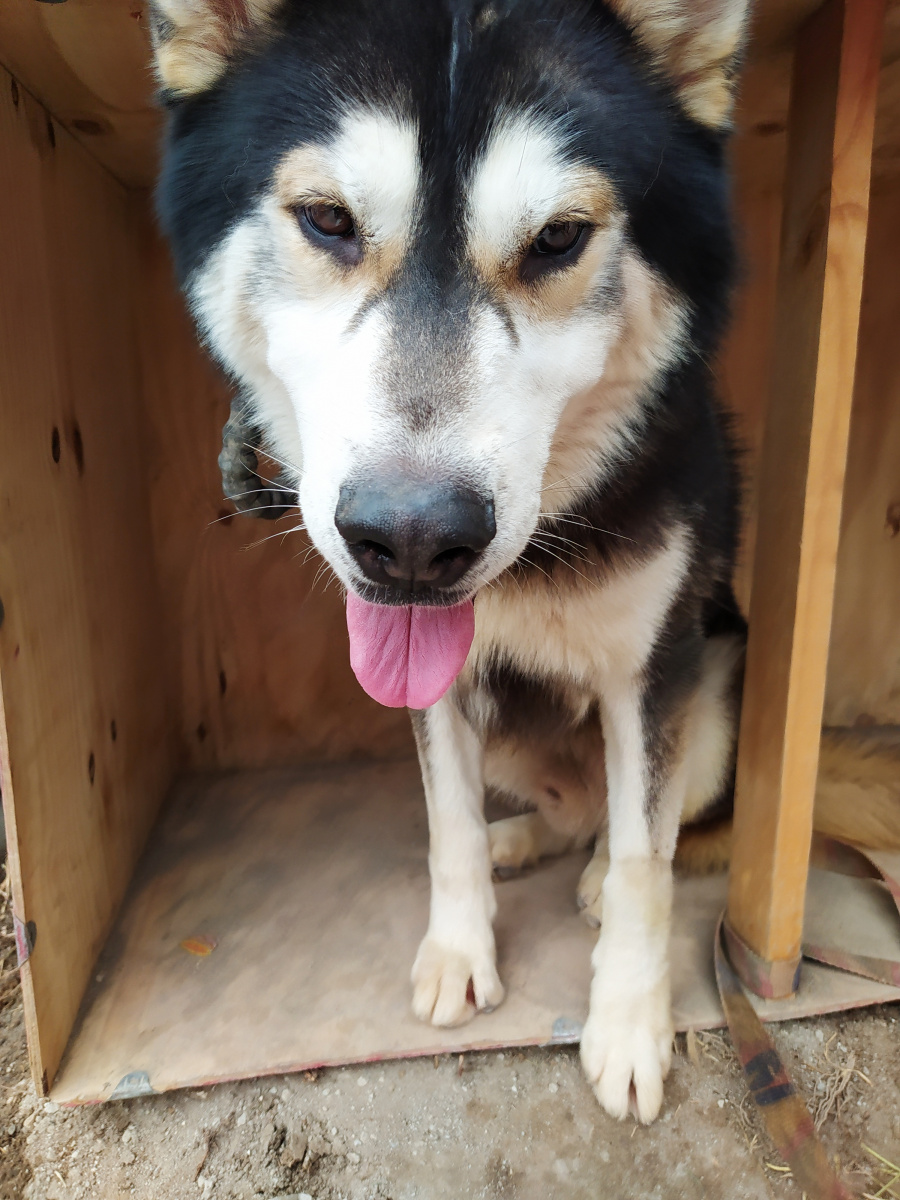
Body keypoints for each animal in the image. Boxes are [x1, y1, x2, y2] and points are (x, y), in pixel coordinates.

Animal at [148, 0, 900, 1123]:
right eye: (328, 220)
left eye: (557, 240)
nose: (411, 543)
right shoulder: (435, 690)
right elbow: (446, 823)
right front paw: (461, 948)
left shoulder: (655, 675)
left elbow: (644, 860)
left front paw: (628, 1022)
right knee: (560, 810)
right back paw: (525, 843)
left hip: (720, 689)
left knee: (661, 826)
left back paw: (590, 873)